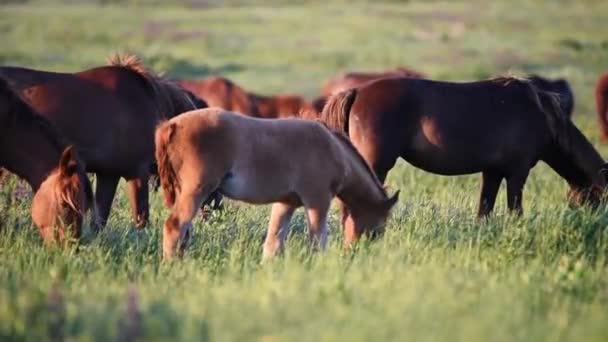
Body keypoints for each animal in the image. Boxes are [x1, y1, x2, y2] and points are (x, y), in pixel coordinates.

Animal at [156, 107, 400, 260]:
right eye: (378, 230)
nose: (355, 253)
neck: (333, 150)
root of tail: (170, 126)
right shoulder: (317, 201)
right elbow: (317, 242)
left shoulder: (285, 203)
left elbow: (273, 243)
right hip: (196, 191)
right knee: (174, 227)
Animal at [320, 77, 604, 216]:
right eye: (599, 198)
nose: (588, 223)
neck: (540, 112)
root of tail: (357, 91)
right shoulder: (518, 172)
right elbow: (515, 210)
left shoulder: (493, 172)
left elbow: (484, 209)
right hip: (375, 165)